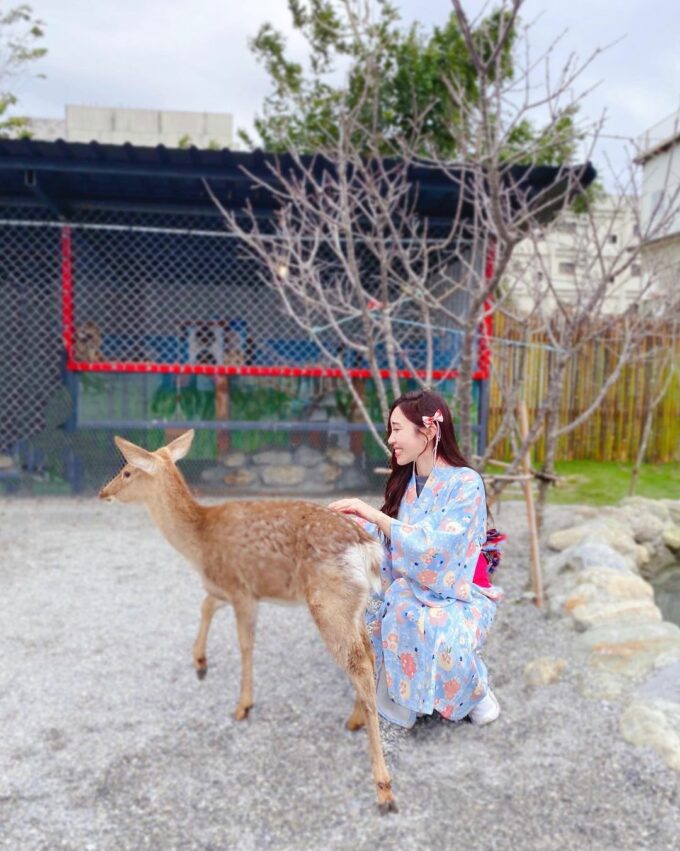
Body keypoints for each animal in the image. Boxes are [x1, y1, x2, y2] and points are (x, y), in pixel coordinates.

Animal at [97, 430, 396, 816]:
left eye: (128, 471)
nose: (103, 492)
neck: (199, 542)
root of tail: (368, 548)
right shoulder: (227, 588)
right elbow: (206, 604)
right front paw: (200, 662)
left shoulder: (241, 589)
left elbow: (244, 643)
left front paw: (243, 705)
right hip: (353, 605)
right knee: (368, 655)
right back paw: (355, 719)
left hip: (328, 601)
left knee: (358, 663)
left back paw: (384, 788)